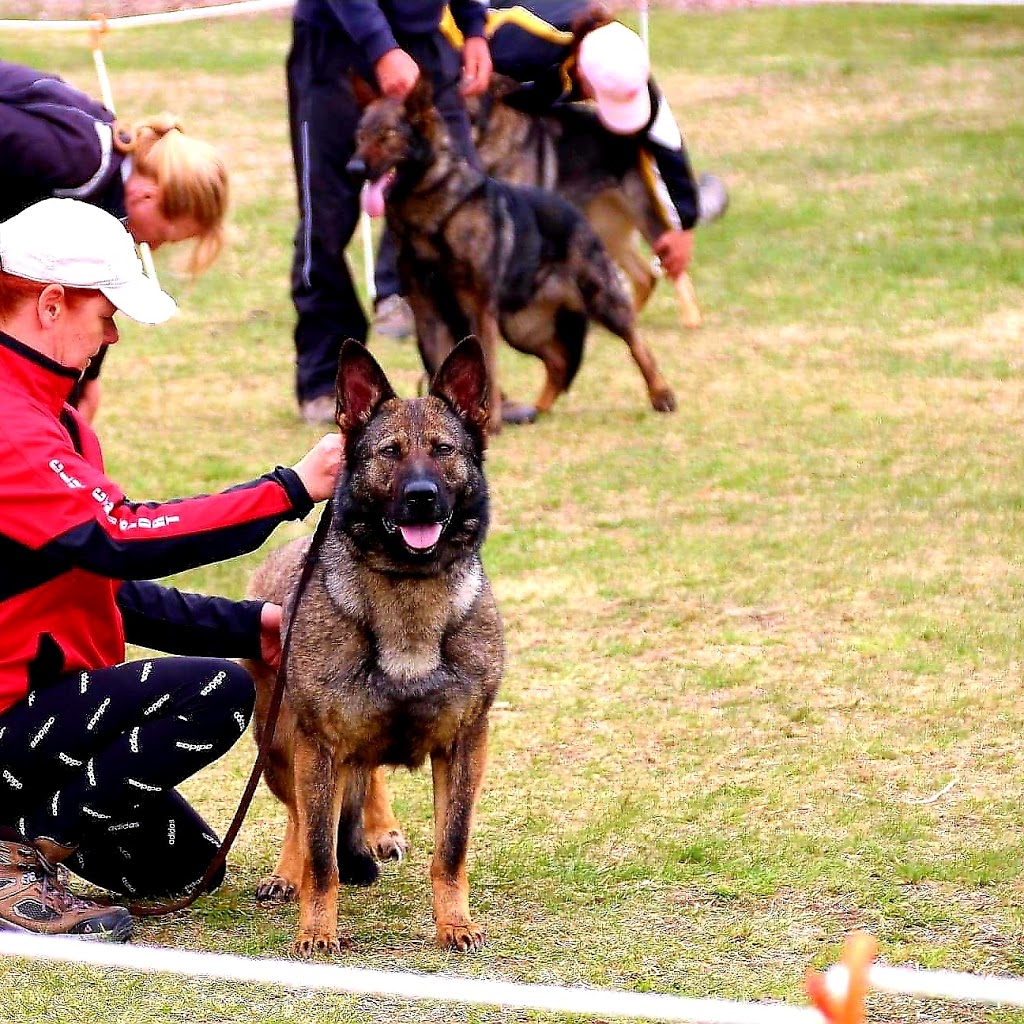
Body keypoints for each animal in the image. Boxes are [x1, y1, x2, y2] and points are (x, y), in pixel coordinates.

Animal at [247, 339, 503, 954]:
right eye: (390, 453)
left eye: (442, 450)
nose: (422, 497)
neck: (408, 589)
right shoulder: (318, 745)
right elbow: (321, 854)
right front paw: (317, 931)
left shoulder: (465, 743)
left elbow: (451, 848)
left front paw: (455, 924)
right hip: (278, 747)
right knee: (299, 815)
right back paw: (286, 873)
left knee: (368, 777)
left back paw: (380, 830)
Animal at [352, 76, 679, 428]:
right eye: (360, 136)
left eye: (388, 135)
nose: (353, 167)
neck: (432, 214)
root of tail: (572, 209)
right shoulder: (428, 314)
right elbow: (440, 363)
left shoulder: (477, 309)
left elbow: (486, 368)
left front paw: (489, 423)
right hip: (520, 327)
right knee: (558, 361)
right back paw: (538, 409)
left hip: (600, 298)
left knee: (636, 341)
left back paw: (661, 394)